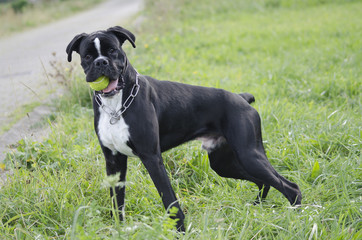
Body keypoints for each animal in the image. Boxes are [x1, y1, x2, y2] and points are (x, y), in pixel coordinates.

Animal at [66, 25, 302, 231]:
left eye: (112, 50)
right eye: (87, 56)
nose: (101, 62)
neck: (116, 105)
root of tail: (241, 98)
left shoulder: (152, 158)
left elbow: (170, 200)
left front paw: (180, 231)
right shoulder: (114, 162)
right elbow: (117, 203)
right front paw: (119, 230)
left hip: (249, 154)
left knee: (290, 187)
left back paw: (299, 218)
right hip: (224, 163)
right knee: (263, 182)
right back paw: (255, 208)